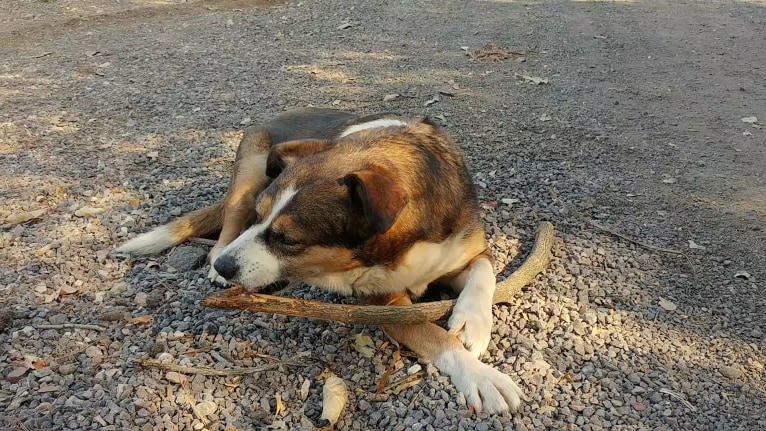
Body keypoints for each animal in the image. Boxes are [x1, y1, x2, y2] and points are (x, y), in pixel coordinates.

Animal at [117, 108, 524, 416]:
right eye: (262, 217)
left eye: (288, 239)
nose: (226, 268)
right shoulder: (383, 303)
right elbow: (435, 336)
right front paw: (481, 377)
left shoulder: (467, 249)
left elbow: (484, 272)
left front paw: (473, 322)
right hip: (250, 171)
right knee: (231, 216)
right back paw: (218, 253)